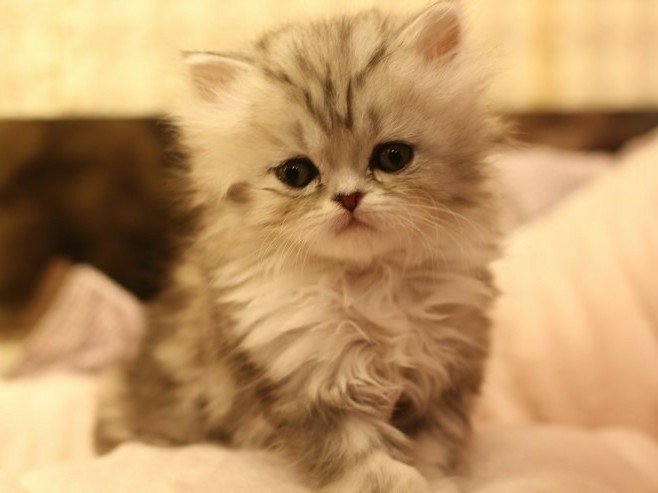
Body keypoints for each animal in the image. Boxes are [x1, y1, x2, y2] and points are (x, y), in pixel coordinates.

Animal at [95, 2, 504, 492]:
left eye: (393, 157)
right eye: (296, 174)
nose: (349, 198)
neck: (369, 282)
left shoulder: (441, 377)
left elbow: (432, 451)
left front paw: (439, 482)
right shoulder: (308, 385)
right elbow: (369, 469)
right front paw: (405, 483)